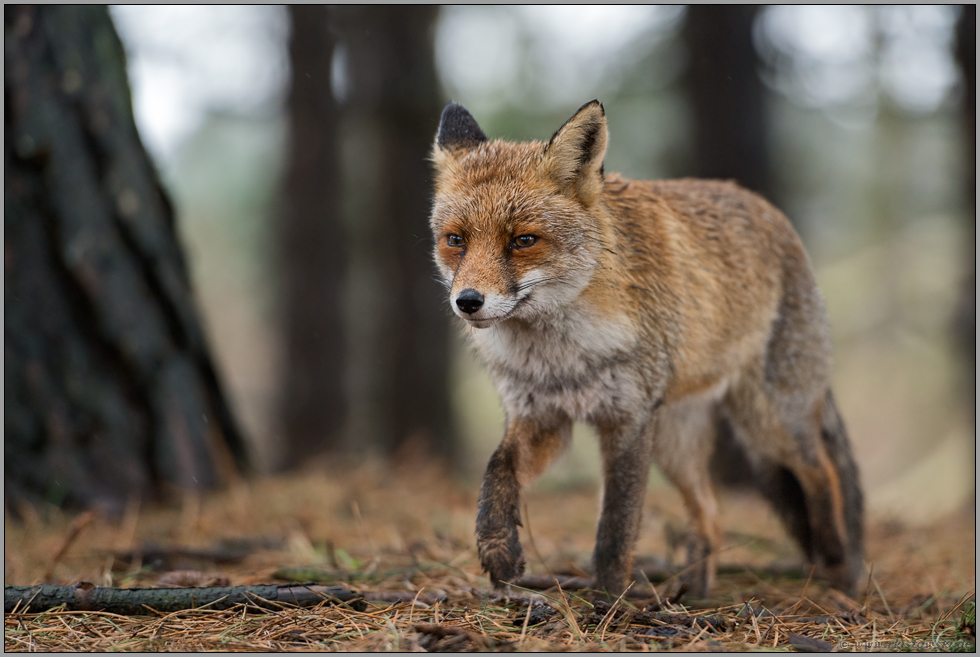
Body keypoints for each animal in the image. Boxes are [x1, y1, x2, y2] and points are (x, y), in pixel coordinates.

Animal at [428, 98, 864, 600]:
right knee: (712, 515)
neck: (561, 358)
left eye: (522, 241)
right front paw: (499, 550)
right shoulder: (542, 417)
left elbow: (615, 528)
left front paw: (608, 599)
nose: (468, 301)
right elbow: (496, 473)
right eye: (456, 240)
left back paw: (838, 562)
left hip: (769, 422)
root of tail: (769, 210)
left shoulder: (629, 418)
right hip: (678, 444)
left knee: (820, 472)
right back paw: (694, 591)